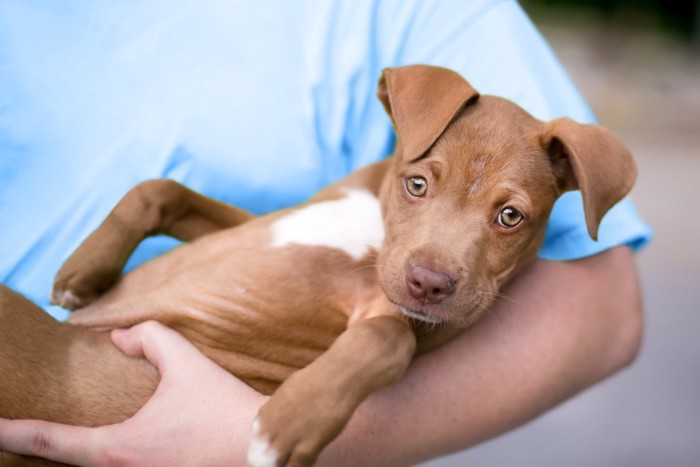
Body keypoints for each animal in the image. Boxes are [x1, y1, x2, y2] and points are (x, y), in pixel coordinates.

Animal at [0, 64, 636, 466]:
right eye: (417, 184)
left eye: (509, 217)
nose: (428, 284)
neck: (375, 223)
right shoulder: (255, 221)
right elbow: (159, 189)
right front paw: (83, 272)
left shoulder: (399, 318)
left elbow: (385, 342)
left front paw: (291, 423)